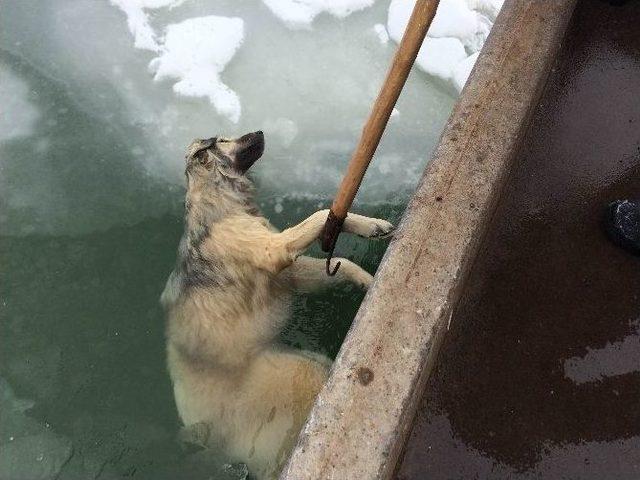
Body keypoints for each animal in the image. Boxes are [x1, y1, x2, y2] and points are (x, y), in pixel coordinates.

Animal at [160, 132, 396, 480]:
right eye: (222, 140)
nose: (259, 132)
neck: (215, 198)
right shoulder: (273, 250)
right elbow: (321, 215)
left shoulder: (290, 275)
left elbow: (340, 255)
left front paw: (370, 253)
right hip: (296, 375)